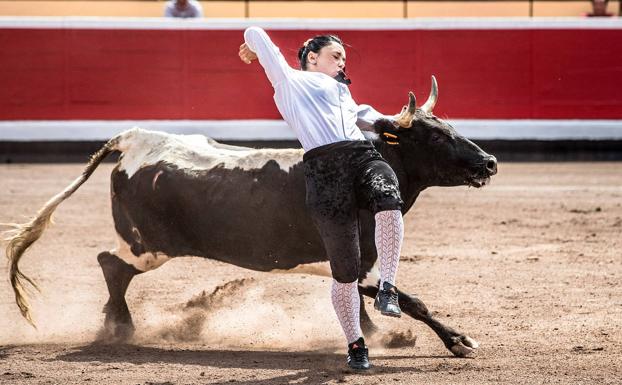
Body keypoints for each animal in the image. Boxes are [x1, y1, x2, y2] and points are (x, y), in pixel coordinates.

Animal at [4, 77, 498, 356]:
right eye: (436, 137)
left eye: (453, 128)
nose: (490, 162)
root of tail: (135, 137)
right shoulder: (358, 258)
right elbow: (412, 301)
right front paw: (458, 341)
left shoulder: (353, 261)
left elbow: (361, 300)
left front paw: (375, 334)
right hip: (148, 245)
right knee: (111, 264)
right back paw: (120, 328)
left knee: (112, 266)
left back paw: (113, 323)